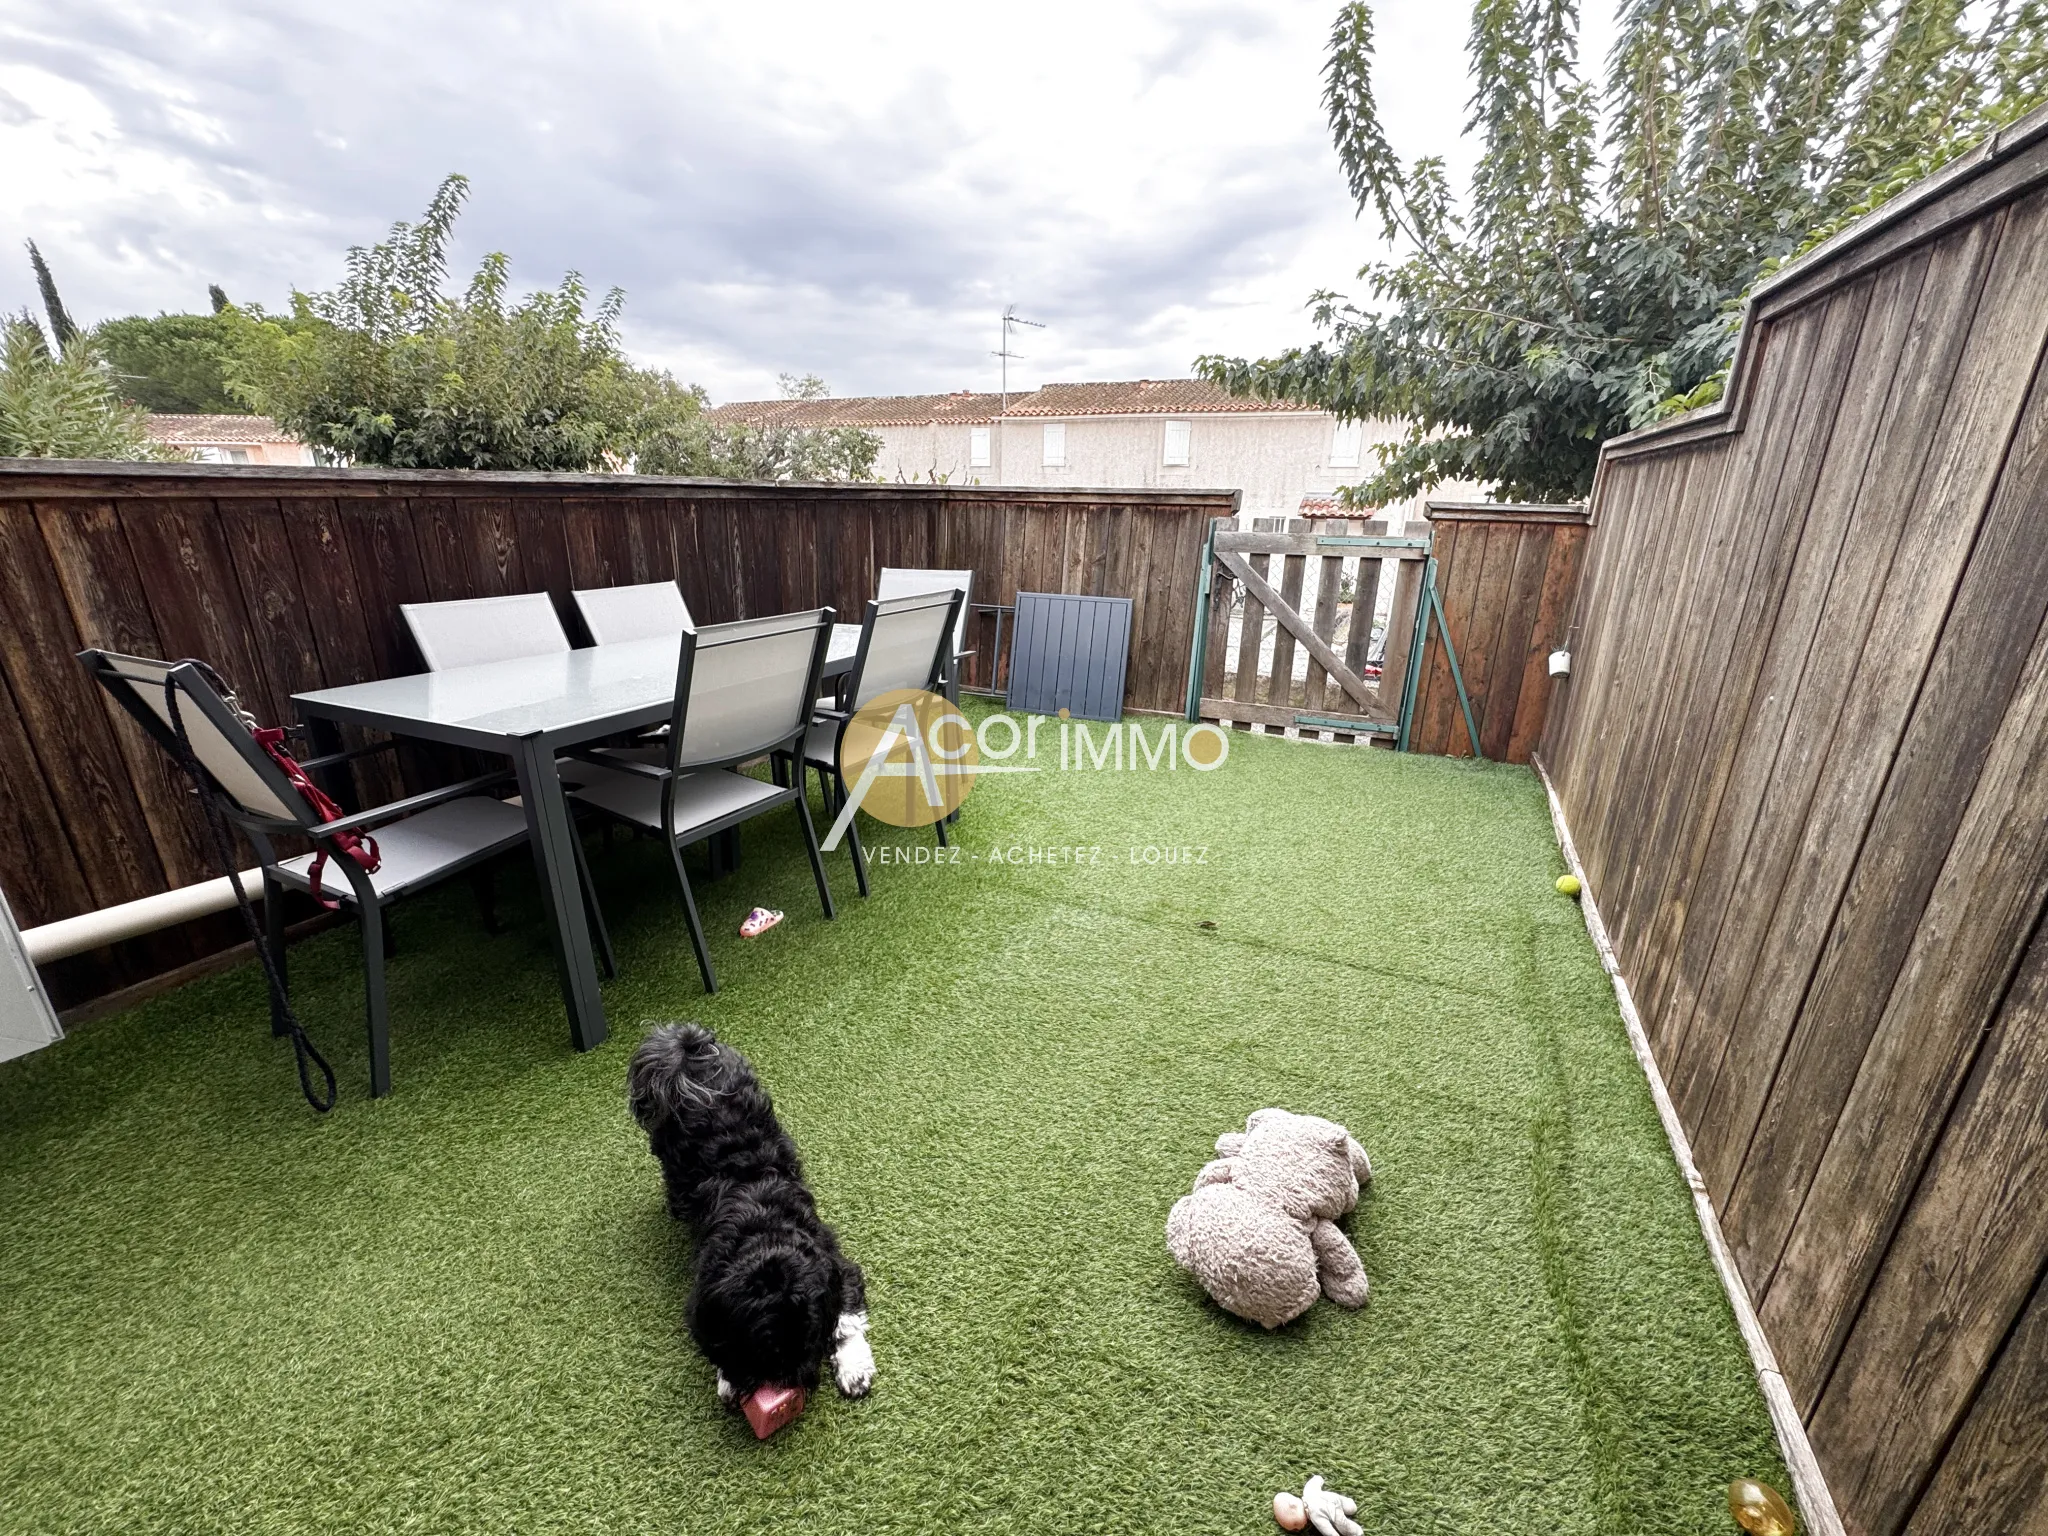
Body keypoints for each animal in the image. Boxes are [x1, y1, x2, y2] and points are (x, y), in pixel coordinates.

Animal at [630, 1028, 872, 1417]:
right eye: (763, 1349)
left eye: (808, 1337)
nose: (793, 1382)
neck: (764, 1226)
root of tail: (689, 1049)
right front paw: (729, 1380)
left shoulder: (836, 1264)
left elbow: (847, 1320)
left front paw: (853, 1368)